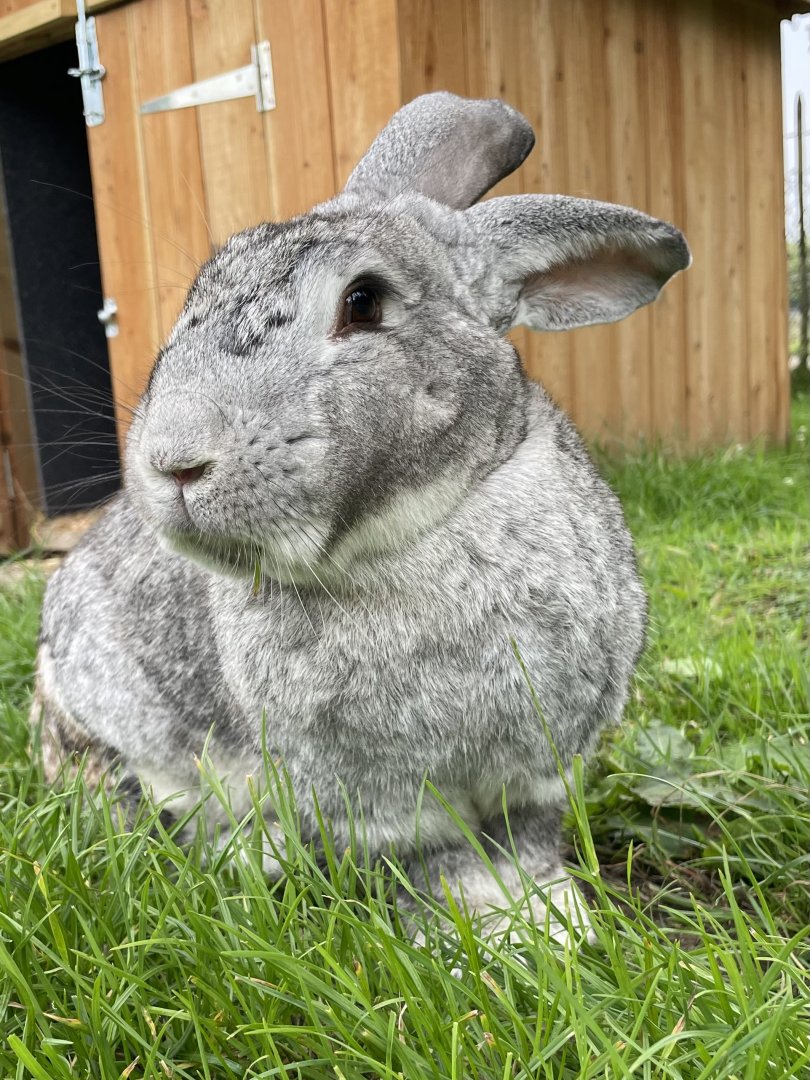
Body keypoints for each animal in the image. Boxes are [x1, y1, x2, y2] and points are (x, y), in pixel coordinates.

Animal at [32, 92, 689, 940]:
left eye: (364, 302)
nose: (173, 462)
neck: (412, 532)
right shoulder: (385, 807)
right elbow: (441, 866)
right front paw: (488, 937)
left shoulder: (541, 775)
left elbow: (528, 846)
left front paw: (553, 922)